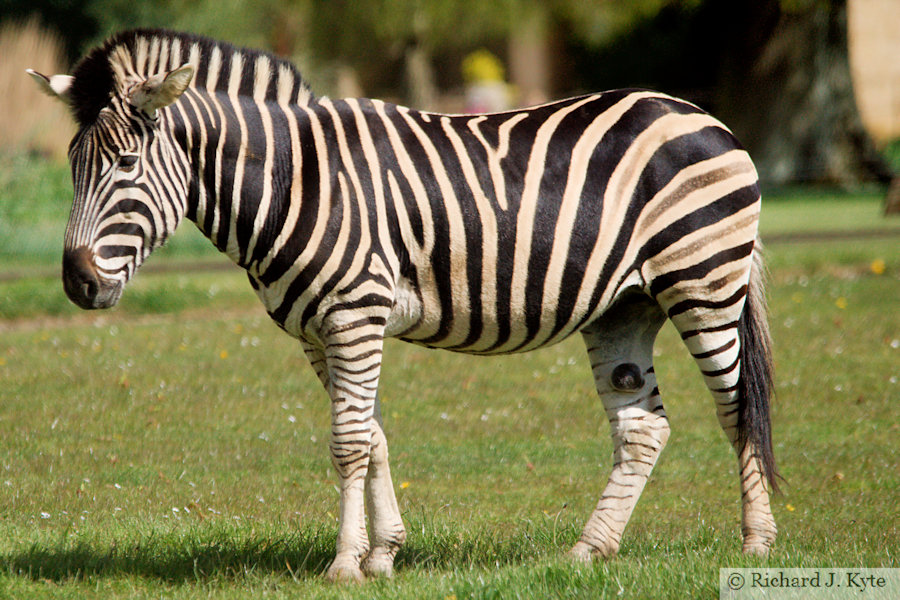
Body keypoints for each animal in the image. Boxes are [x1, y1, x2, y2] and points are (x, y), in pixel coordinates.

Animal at [24, 29, 776, 580]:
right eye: (71, 167)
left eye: (125, 166)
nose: (77, 284)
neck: (295, 180)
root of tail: (697, 112)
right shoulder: (319, 331)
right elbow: (373, 435)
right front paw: (382, 554)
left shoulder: (353, 313)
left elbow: (348, 441)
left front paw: (343, 567)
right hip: (624, 306)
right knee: (642, 428)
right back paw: (588, 552)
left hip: (703, 282)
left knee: (737, 408)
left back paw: (757, 545)